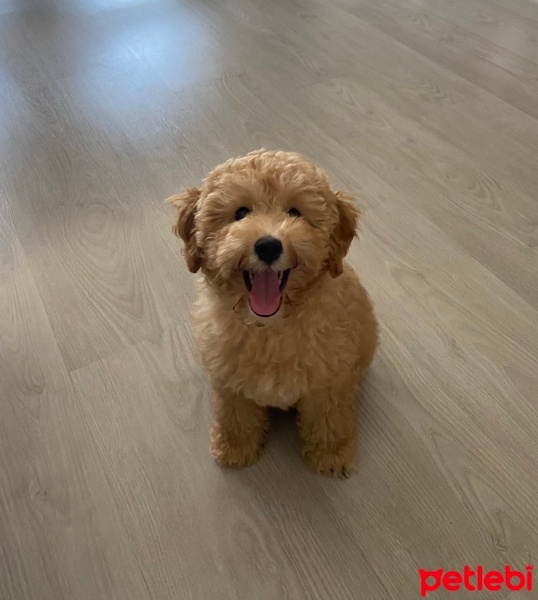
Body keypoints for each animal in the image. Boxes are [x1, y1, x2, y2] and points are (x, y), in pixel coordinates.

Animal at [169, 150, 376, 478]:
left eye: (294, 212)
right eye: (241, 212)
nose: (268, 246)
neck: (269, 328)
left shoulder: (328, 382)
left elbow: (329, 419)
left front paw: (331, 454)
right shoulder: (229, 381)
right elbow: (235, 415)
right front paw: (235, 447)